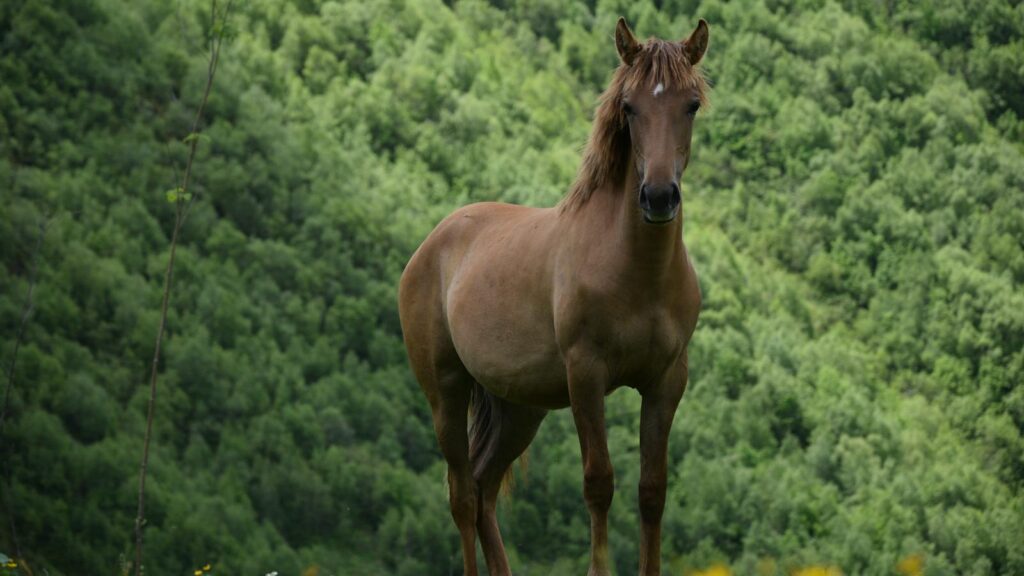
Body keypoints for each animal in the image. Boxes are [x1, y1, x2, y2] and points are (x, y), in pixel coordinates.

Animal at [398, 17, 709, 576]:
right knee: (461, 495)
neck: (638, 272)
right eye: (629, 107)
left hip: (519, 407)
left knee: (483, 488)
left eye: (691, 104)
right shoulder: (586, 375)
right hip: (446, 393)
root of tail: (431, 246)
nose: (658, 197)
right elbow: (599, 483)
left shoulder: (666, 380)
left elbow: (652, 491)